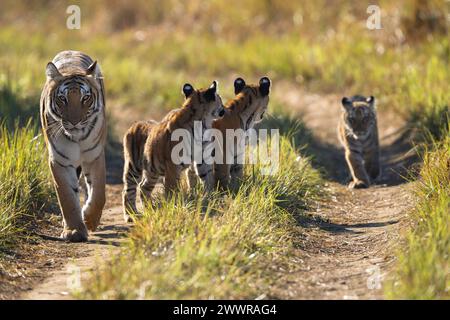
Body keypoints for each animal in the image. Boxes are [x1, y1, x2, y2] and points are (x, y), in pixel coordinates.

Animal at [40, 50, 107, 241]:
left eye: (86, 98)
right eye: (63, 99)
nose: (75, 122)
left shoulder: (94, 156)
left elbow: (99, 194)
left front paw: (90, 220)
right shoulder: (60, 160)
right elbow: (67, 197)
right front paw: (74, 231)